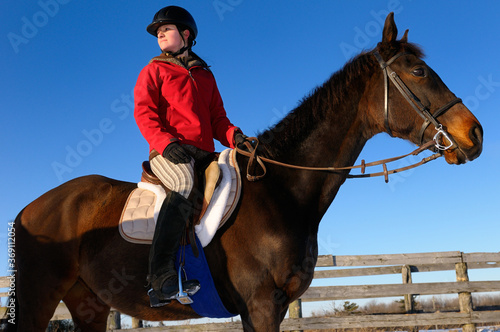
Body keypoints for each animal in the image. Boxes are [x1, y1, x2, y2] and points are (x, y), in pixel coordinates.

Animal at [3, 13, 482, 332]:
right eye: (419, 71)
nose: (475, 133)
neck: (282, 191)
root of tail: (30, 208)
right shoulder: (263, 304)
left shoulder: (269, 307)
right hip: (40, 297)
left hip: (89, 303)